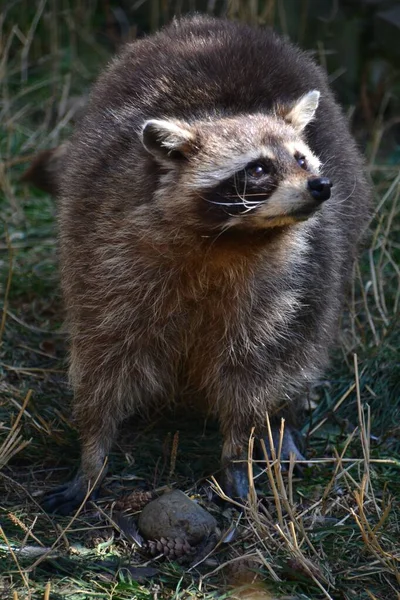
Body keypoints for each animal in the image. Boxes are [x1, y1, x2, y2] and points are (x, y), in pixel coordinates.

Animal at [42, 14, 370, 512]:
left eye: (301, 158)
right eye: (259, 168)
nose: (320, 186)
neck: (228, 238)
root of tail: (215, 23)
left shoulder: (281, 286)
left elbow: (253, 370)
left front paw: (238, 451)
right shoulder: (106, 256)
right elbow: (105, 359)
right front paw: (93, 452)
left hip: (328, 261)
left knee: (306, 338)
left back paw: (286, 421)